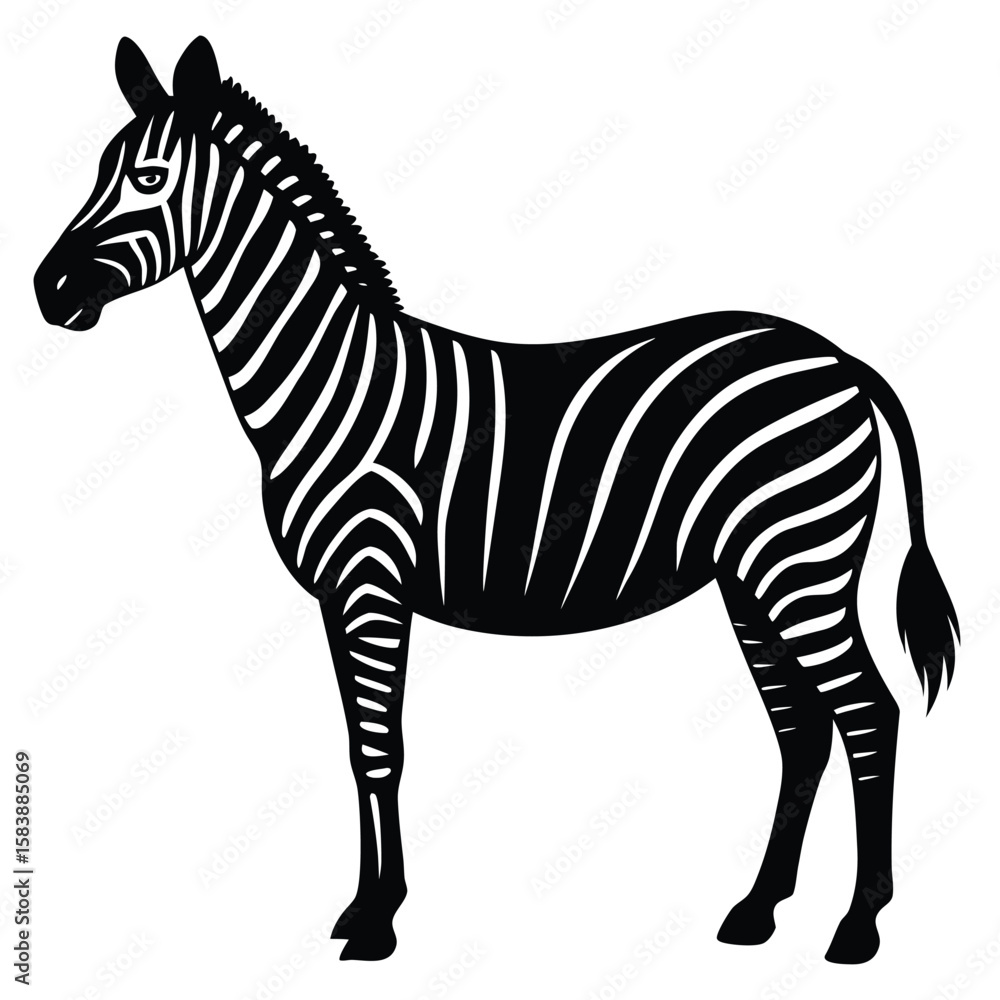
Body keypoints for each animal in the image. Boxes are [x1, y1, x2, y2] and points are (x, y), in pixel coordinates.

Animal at [34, 36, 958, 965]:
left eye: (148, 178)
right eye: (97, 170)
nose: (48, 291)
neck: (328, 381)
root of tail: (839, 358)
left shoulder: (370, 579)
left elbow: (381, 748)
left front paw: (377, 919)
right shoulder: (338, 594)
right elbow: (358, 746)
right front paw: (366, 905)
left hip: (800, 563)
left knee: (867, 712)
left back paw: (858, 925)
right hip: (751, 578)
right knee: (802, 730)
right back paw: (757, 910)